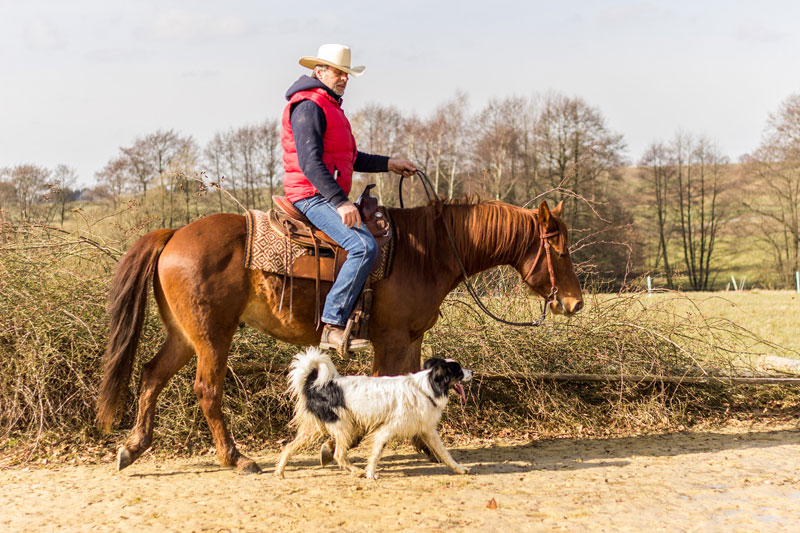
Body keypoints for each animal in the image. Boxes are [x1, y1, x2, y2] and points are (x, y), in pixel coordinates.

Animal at [276, 348, 472, 480]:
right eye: (459, 370)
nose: (472, 371)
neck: (427, 387)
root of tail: (318, 385)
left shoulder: (427, 430)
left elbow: (445, 453)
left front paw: (459, 468)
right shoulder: (386, 430)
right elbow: (377, 453)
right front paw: (370, 473)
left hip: (315, 429)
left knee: (289, 447)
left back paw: (279, 472)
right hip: (343, 426)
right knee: (339, 454)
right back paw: (356, 471)